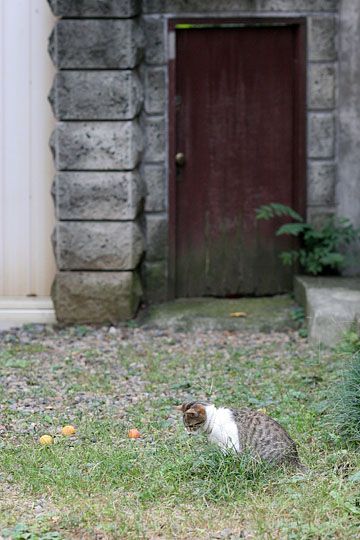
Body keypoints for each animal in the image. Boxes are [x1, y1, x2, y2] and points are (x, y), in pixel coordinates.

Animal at [176, 400, 304, 468]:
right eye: (185, 426)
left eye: (190, 426)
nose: (187, 433)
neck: (214, 421)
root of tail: (296, 460)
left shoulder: (232, 445)